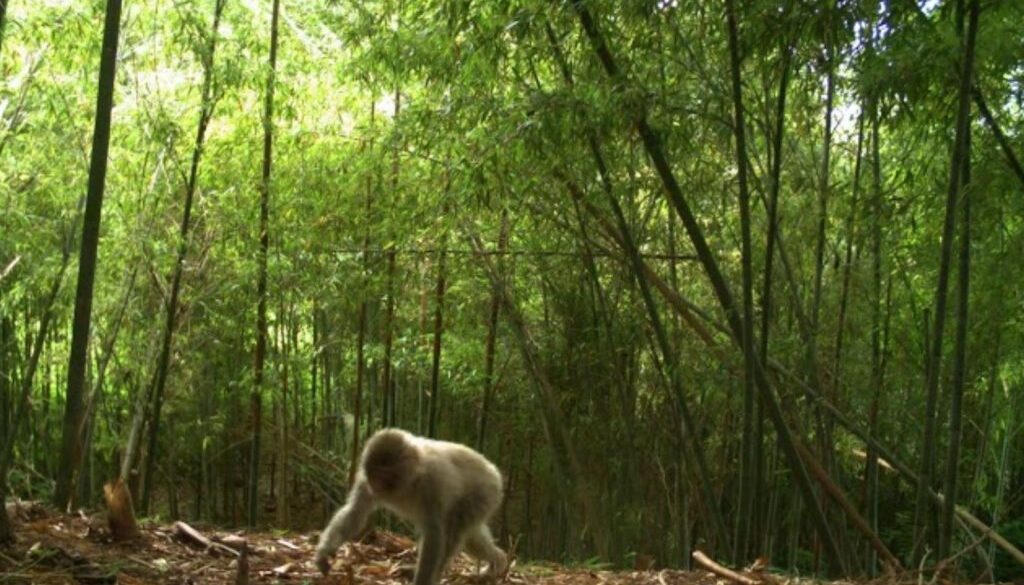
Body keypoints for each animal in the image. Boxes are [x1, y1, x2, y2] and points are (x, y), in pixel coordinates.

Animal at [315, 428, 508, 585]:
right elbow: (354, 512)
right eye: (372, 474)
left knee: (453, 532)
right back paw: (499, 561)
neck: (411, 478)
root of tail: (493, 470)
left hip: (485, 493)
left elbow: (434, 534)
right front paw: (324, 552)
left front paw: (422, 580)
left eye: (383, 474)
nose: (375, 484)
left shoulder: (432, 484)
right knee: (471, 540)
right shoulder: (364, 480)